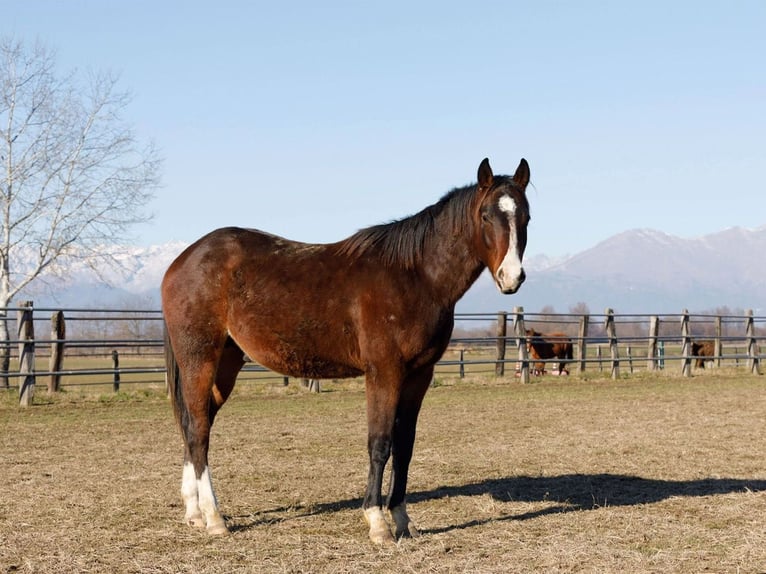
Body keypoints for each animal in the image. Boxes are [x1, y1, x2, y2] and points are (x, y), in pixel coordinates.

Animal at [160, 158, 536, 544]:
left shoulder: (419, 375)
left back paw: (194, 513)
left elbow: (405, 446)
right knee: (198, 430)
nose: (511, 277)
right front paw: (377, 522)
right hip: (200, 359)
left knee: (195, 425)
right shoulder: (384, 372)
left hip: (226, 363)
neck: (415, 276)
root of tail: (184, 259)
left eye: (525, 216)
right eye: (486, 216)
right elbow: (380, 443)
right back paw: (214, 517)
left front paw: (402, 519)